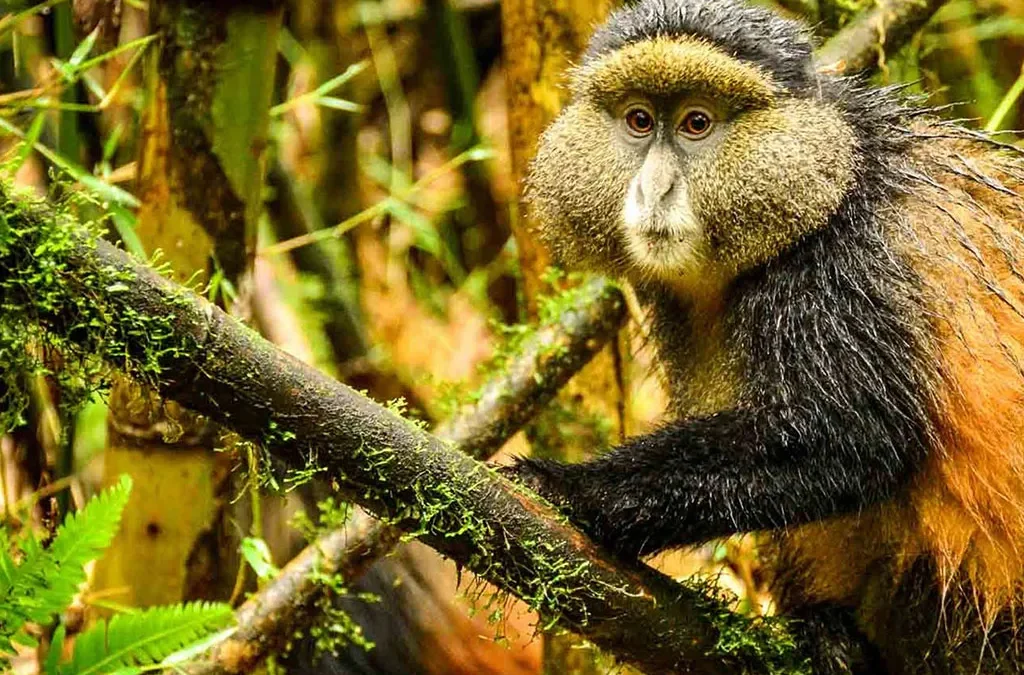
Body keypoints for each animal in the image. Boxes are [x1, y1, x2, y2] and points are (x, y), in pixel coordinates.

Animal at [502, 0, 1024, 672]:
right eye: (639, 121)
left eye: (697, 123)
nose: (655, 189)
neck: (834, 173)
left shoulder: (840, 267)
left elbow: (851, 438)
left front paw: (567, 489)